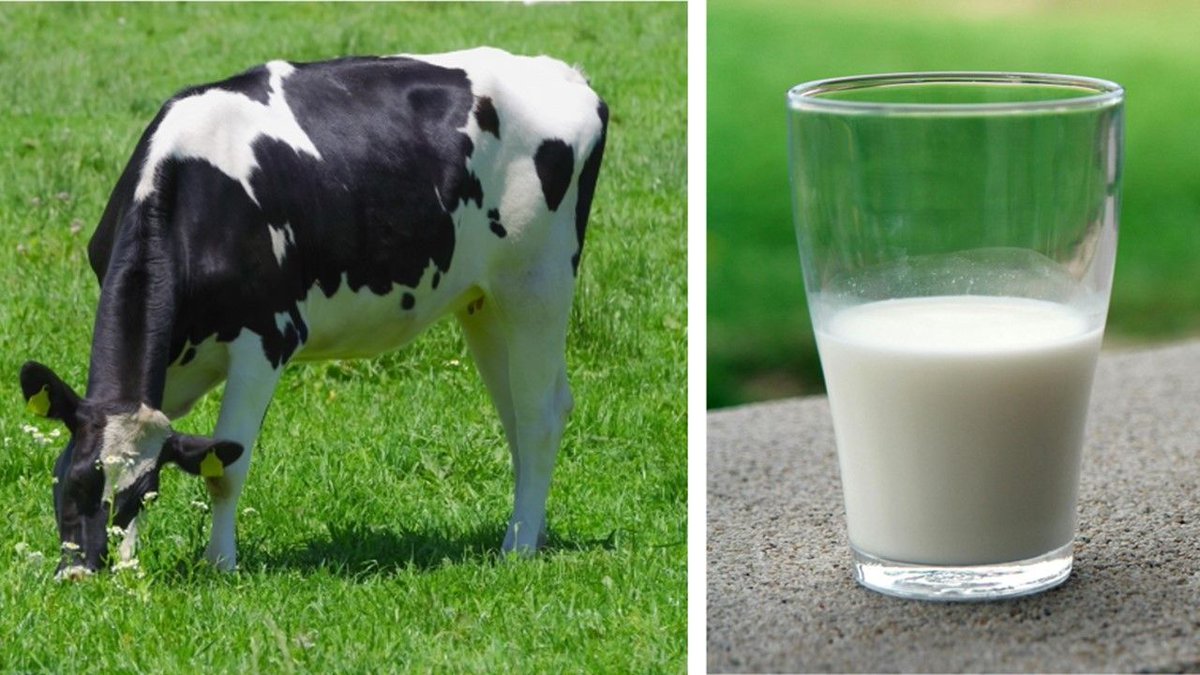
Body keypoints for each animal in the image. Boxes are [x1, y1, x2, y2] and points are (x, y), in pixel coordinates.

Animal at [18, 47, 608, 579]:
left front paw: (219, 565)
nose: (79, 575)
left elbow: (226, 470)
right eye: (69, 480)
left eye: (133, 495)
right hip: (483, 302)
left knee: (539, 415)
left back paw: (518, 548)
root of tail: (565, 74)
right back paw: (530, 531)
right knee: (516, 414)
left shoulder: (265, 341)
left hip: (538, 285)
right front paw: (130, 563)